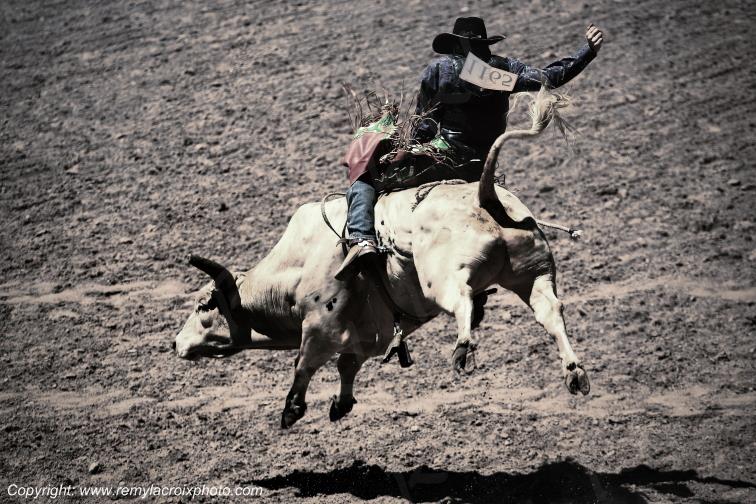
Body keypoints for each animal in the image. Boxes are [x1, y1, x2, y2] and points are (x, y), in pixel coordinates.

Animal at [174, 89, 590, 428]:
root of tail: (484, 195)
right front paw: (340, 404)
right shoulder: (365, 335)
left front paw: (292, 409)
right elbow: (346, 365)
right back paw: (574, 372)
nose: (176, 343)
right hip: (533, 273)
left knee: (463, 300)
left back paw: (463, 348)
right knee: (550, 312)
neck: (297, 271)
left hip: (443, 277)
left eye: (203, 306)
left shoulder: (319, 327)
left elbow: (305, 364)